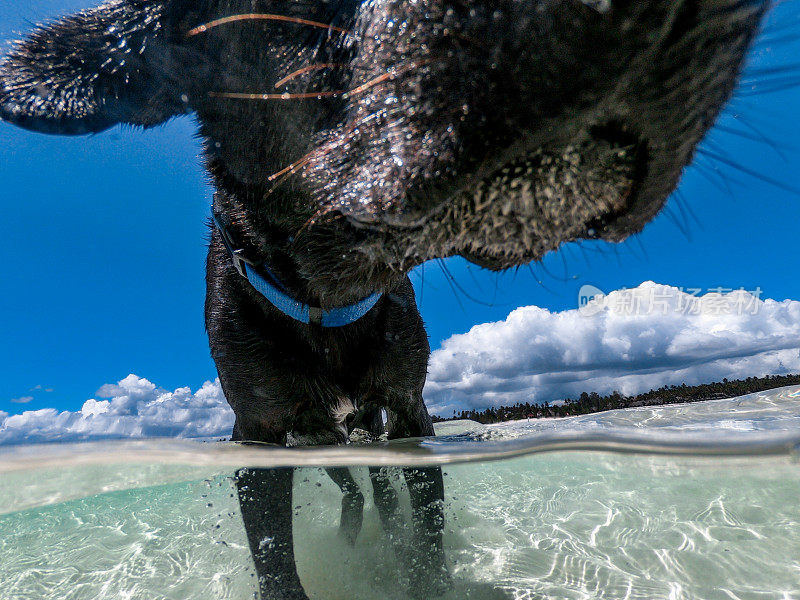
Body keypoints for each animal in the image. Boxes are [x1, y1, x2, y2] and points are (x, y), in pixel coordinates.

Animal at [0, 2, 768, 596]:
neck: (329, 302)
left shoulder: (407, 414)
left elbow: (423, 533)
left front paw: (419, 572)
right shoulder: (259, 436)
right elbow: (275, 562)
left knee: (380, 492)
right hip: (318, 445)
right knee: (349, 492)